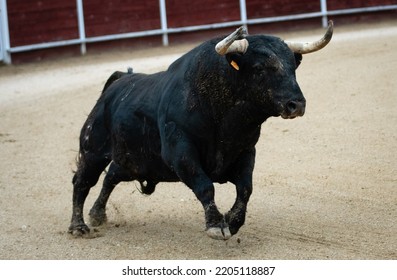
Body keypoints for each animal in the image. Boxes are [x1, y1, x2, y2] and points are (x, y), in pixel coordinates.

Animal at [69, 22, 332, 241]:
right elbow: (205, 185)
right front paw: (216, 225)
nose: (296, 104)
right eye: (259, 68)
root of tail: (119, 83)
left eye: (293, 66)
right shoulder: (180, 152)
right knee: (83, 181)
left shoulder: (246, 150)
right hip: (93, 150)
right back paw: (78, 226)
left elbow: (245, 188)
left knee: (111, 175)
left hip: (134, 161)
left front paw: (233, 222)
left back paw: (97, 214)